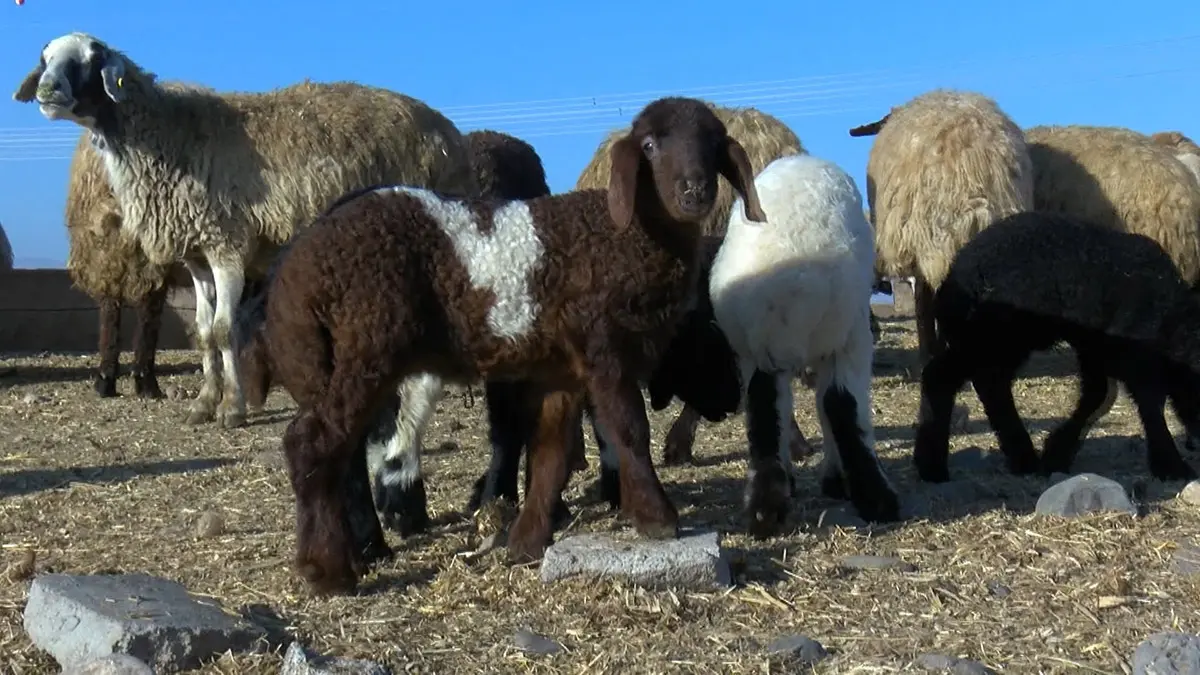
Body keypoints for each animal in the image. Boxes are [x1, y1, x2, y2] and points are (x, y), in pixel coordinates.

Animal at [241, 97, 768, 590]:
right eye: (651, 146)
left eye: (714, 145)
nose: (695, 191)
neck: (626, 235)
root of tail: (291, 276)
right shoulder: (604, 347)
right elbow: (628, 430)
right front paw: (657, 519)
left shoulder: (563, 368)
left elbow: (551, 450)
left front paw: (528, 540)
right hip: (367, 348)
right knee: (312, 444)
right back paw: (327, 570)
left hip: (331, 364)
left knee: (336, 453)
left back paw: (354, 553)